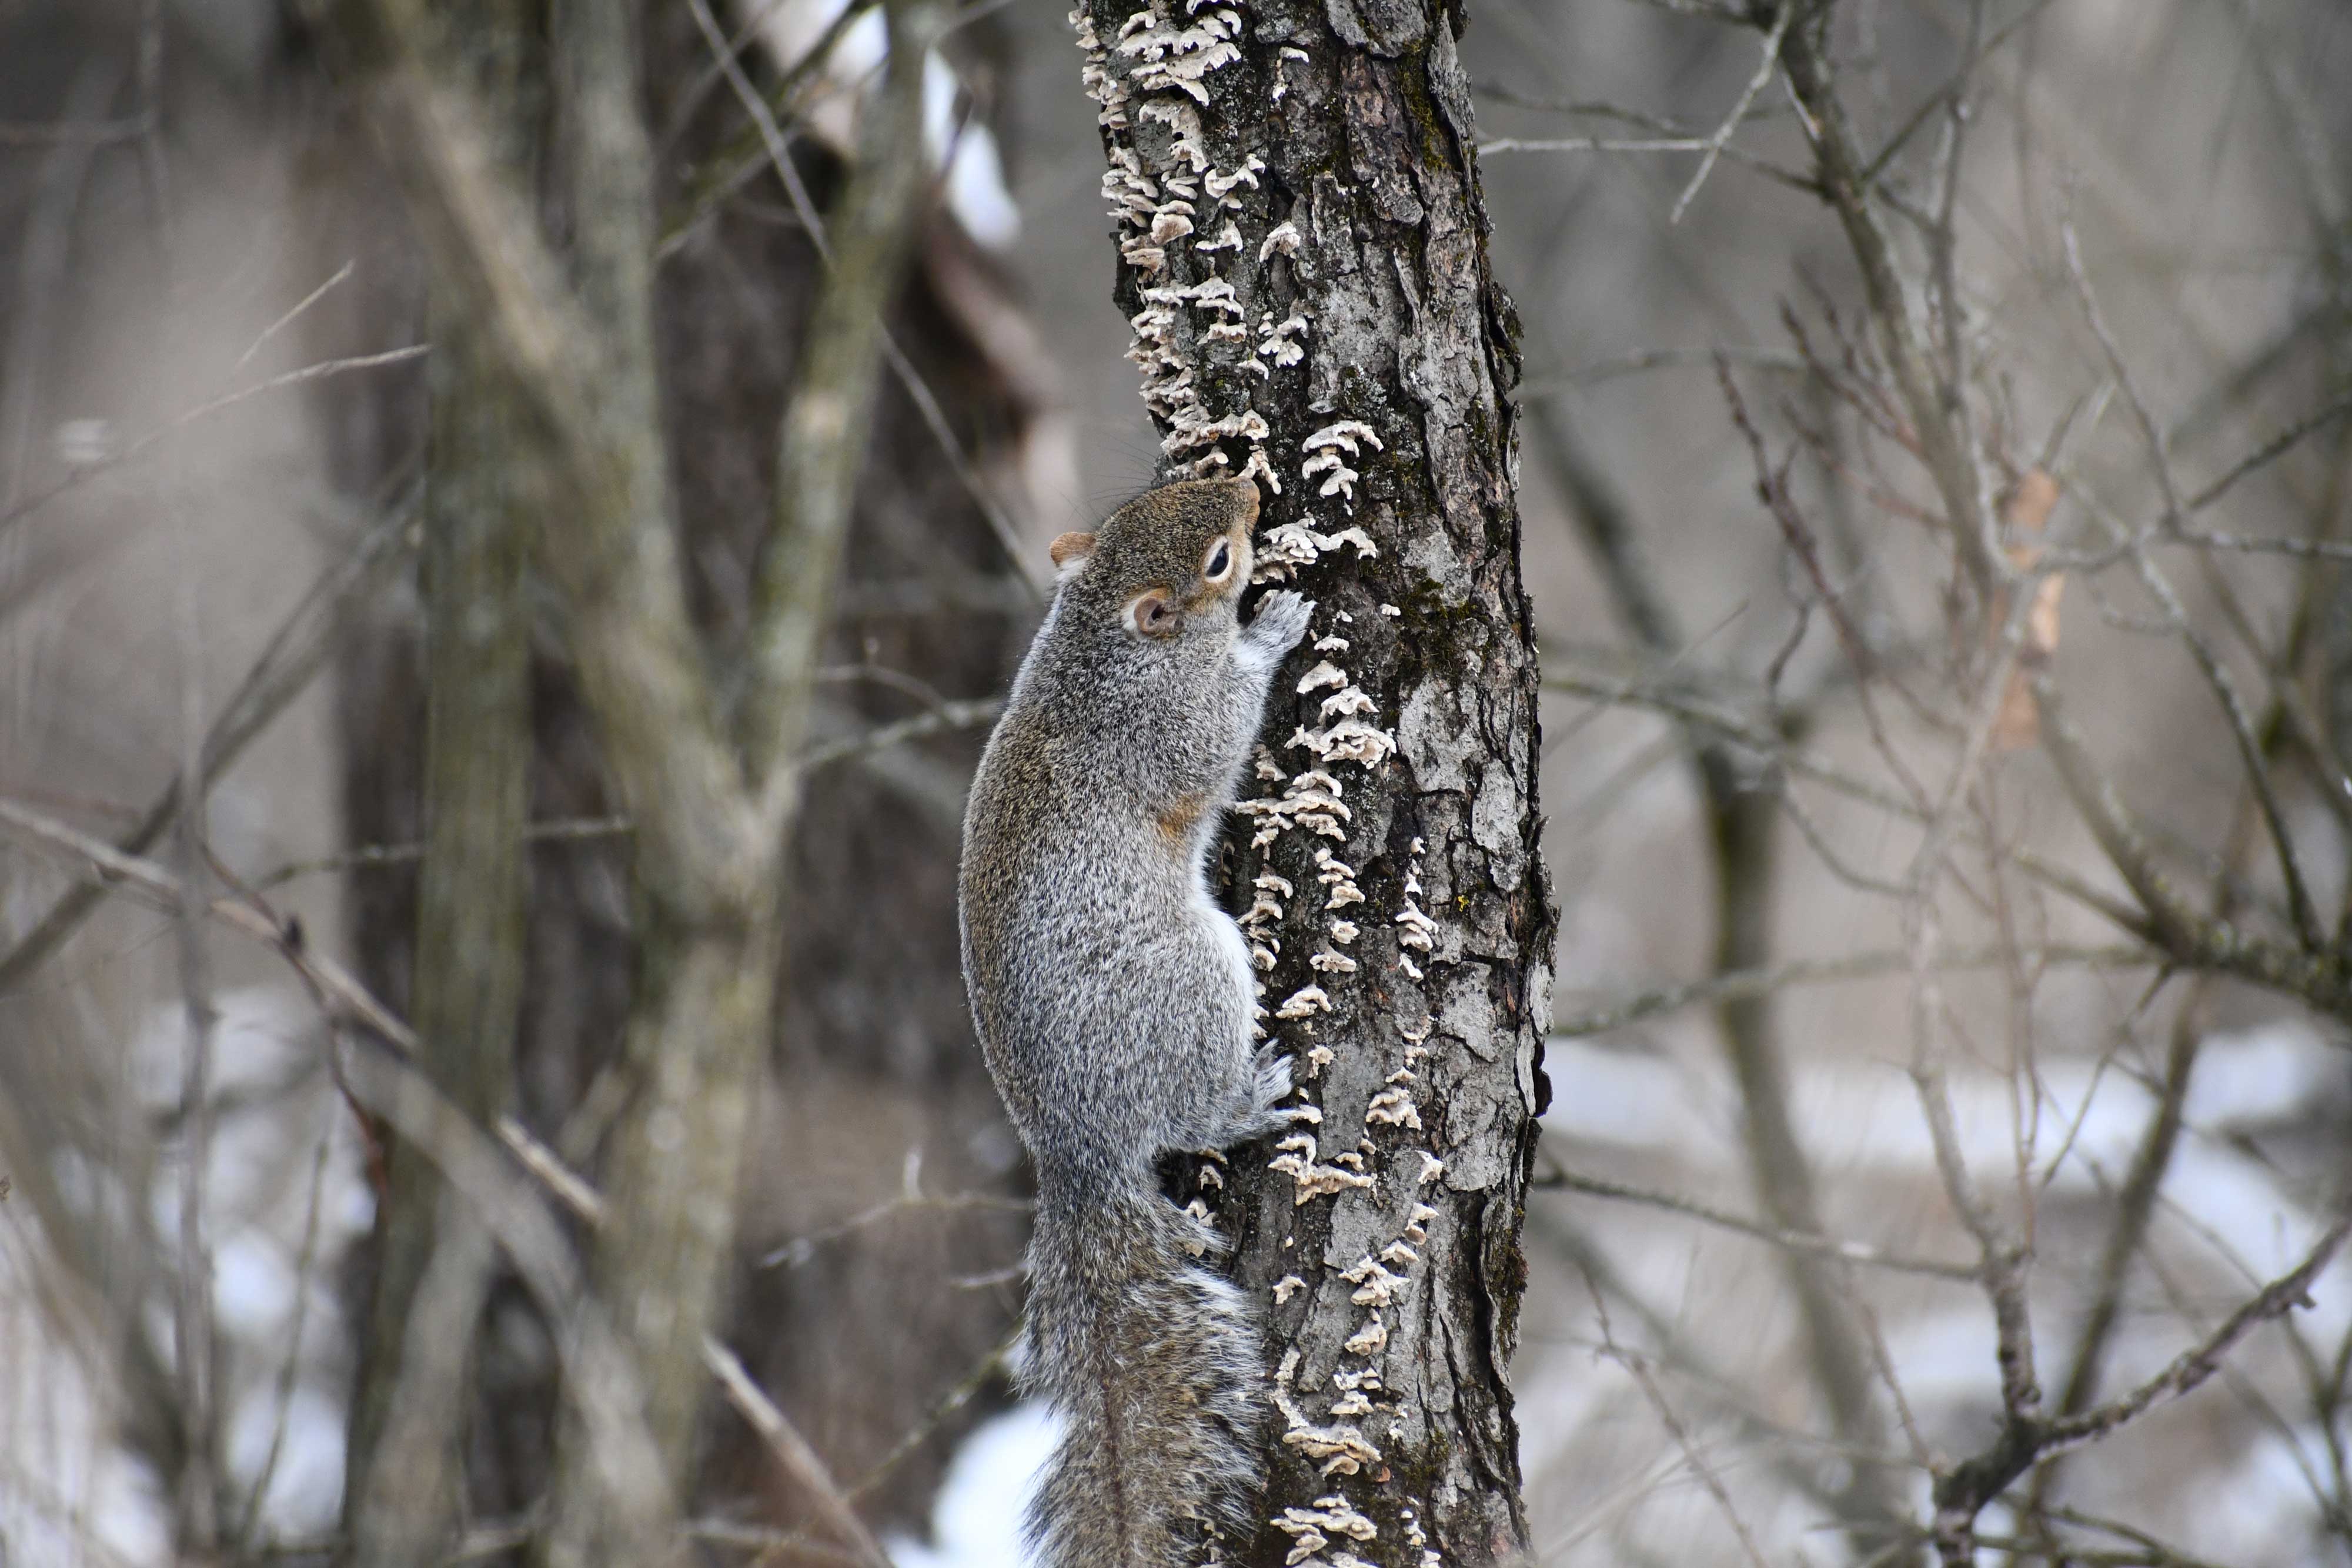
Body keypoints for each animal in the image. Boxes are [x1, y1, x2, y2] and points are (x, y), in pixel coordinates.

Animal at [960, 474, 1327, 1568]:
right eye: (1217, 560)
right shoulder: (1169, 724)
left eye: (1166, 492)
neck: (1096, 642)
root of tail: (1081, 1150)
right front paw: (1272, 630)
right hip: (1196, 983)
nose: (1249, 489)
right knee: (1191, 1114)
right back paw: (1251, 1097)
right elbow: (1223, 723)